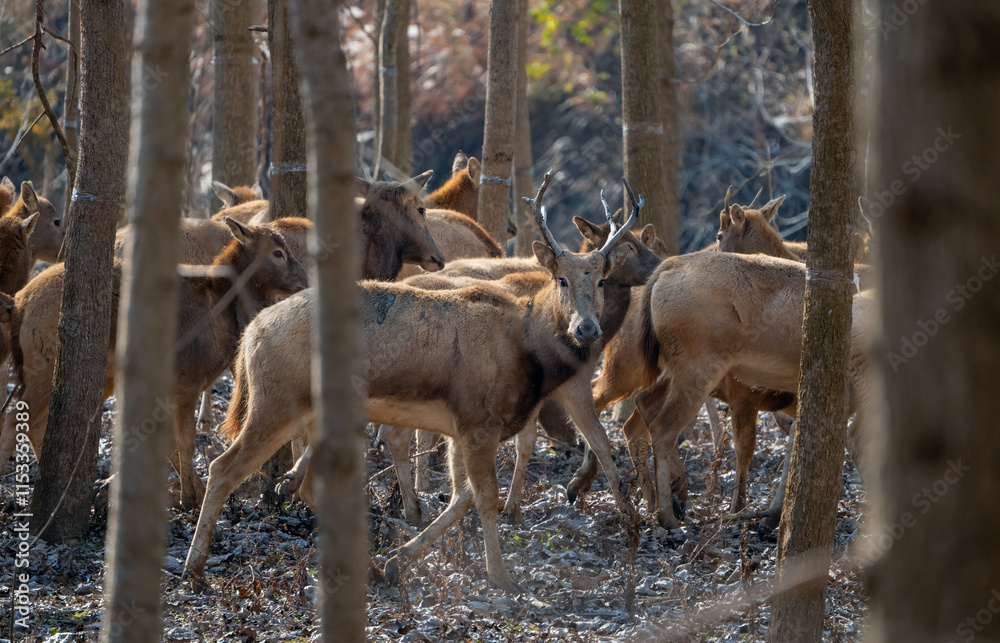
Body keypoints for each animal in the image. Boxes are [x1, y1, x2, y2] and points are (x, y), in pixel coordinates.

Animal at [0, 218, 309, 506]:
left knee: (33, 423)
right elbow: (185, 441)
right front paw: (188, 497)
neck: (223, 316)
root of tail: (20, 303)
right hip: (43, 363)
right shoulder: (187, 381)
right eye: (278, 252)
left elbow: (166, 441)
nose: (305, 281)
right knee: (14, 417)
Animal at [184, 174, 642, 594]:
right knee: (223, 467)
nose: (586, 329)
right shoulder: (477, 420)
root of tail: (251, 335)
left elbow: (462, 495)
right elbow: (484, 497)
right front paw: (500, 578)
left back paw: (366, 564)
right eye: (562, 279)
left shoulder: (463, 427)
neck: (525, 353)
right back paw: (194, 566)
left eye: (600, 280)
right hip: (274, 401)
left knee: (307, 482)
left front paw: (398, 561)